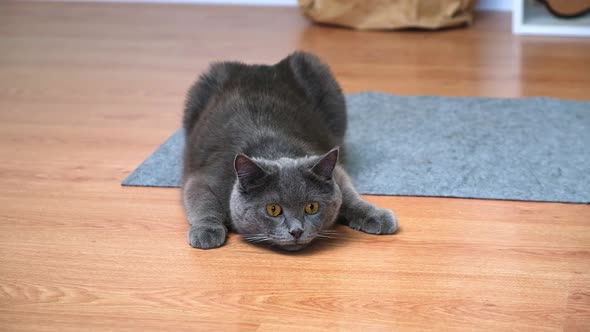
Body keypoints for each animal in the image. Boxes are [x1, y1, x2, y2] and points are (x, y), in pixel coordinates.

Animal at [183, 51, 400, 252]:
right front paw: (206, 230)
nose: (296, 231)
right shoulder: (204, 178)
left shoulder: (337, 171)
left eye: (311, 207)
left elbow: (349, 195)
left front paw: (377, 215)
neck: (275, 151)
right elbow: (203, 202)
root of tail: (262, 67)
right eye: (273, 209)